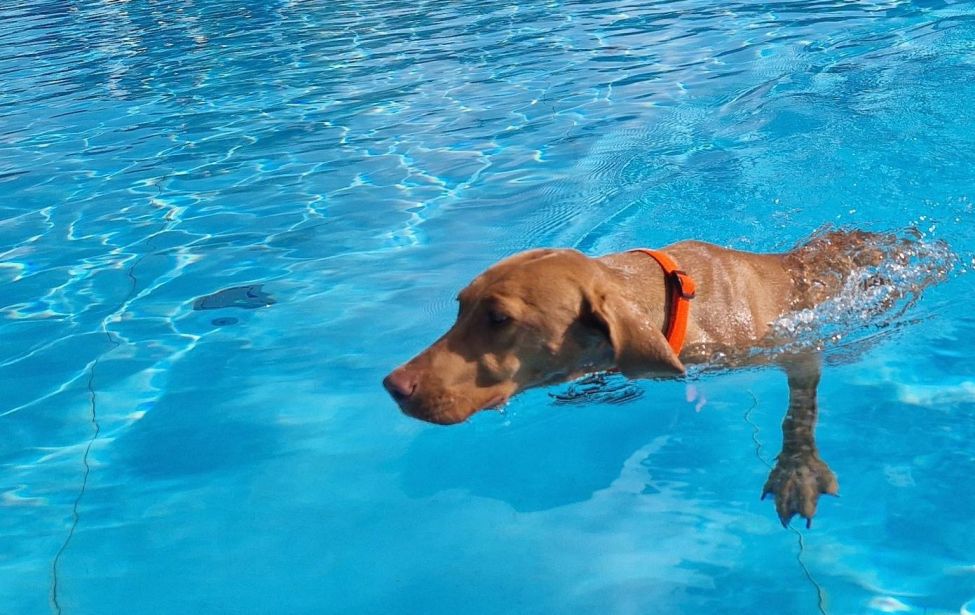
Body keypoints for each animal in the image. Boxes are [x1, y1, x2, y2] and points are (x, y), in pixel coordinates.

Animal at [386, 229, 948, 528]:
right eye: (460, 306)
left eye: (499, 318)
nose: (394, 385)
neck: (671, 300)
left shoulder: (794, 348)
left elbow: (798, 411)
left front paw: (797, 469)